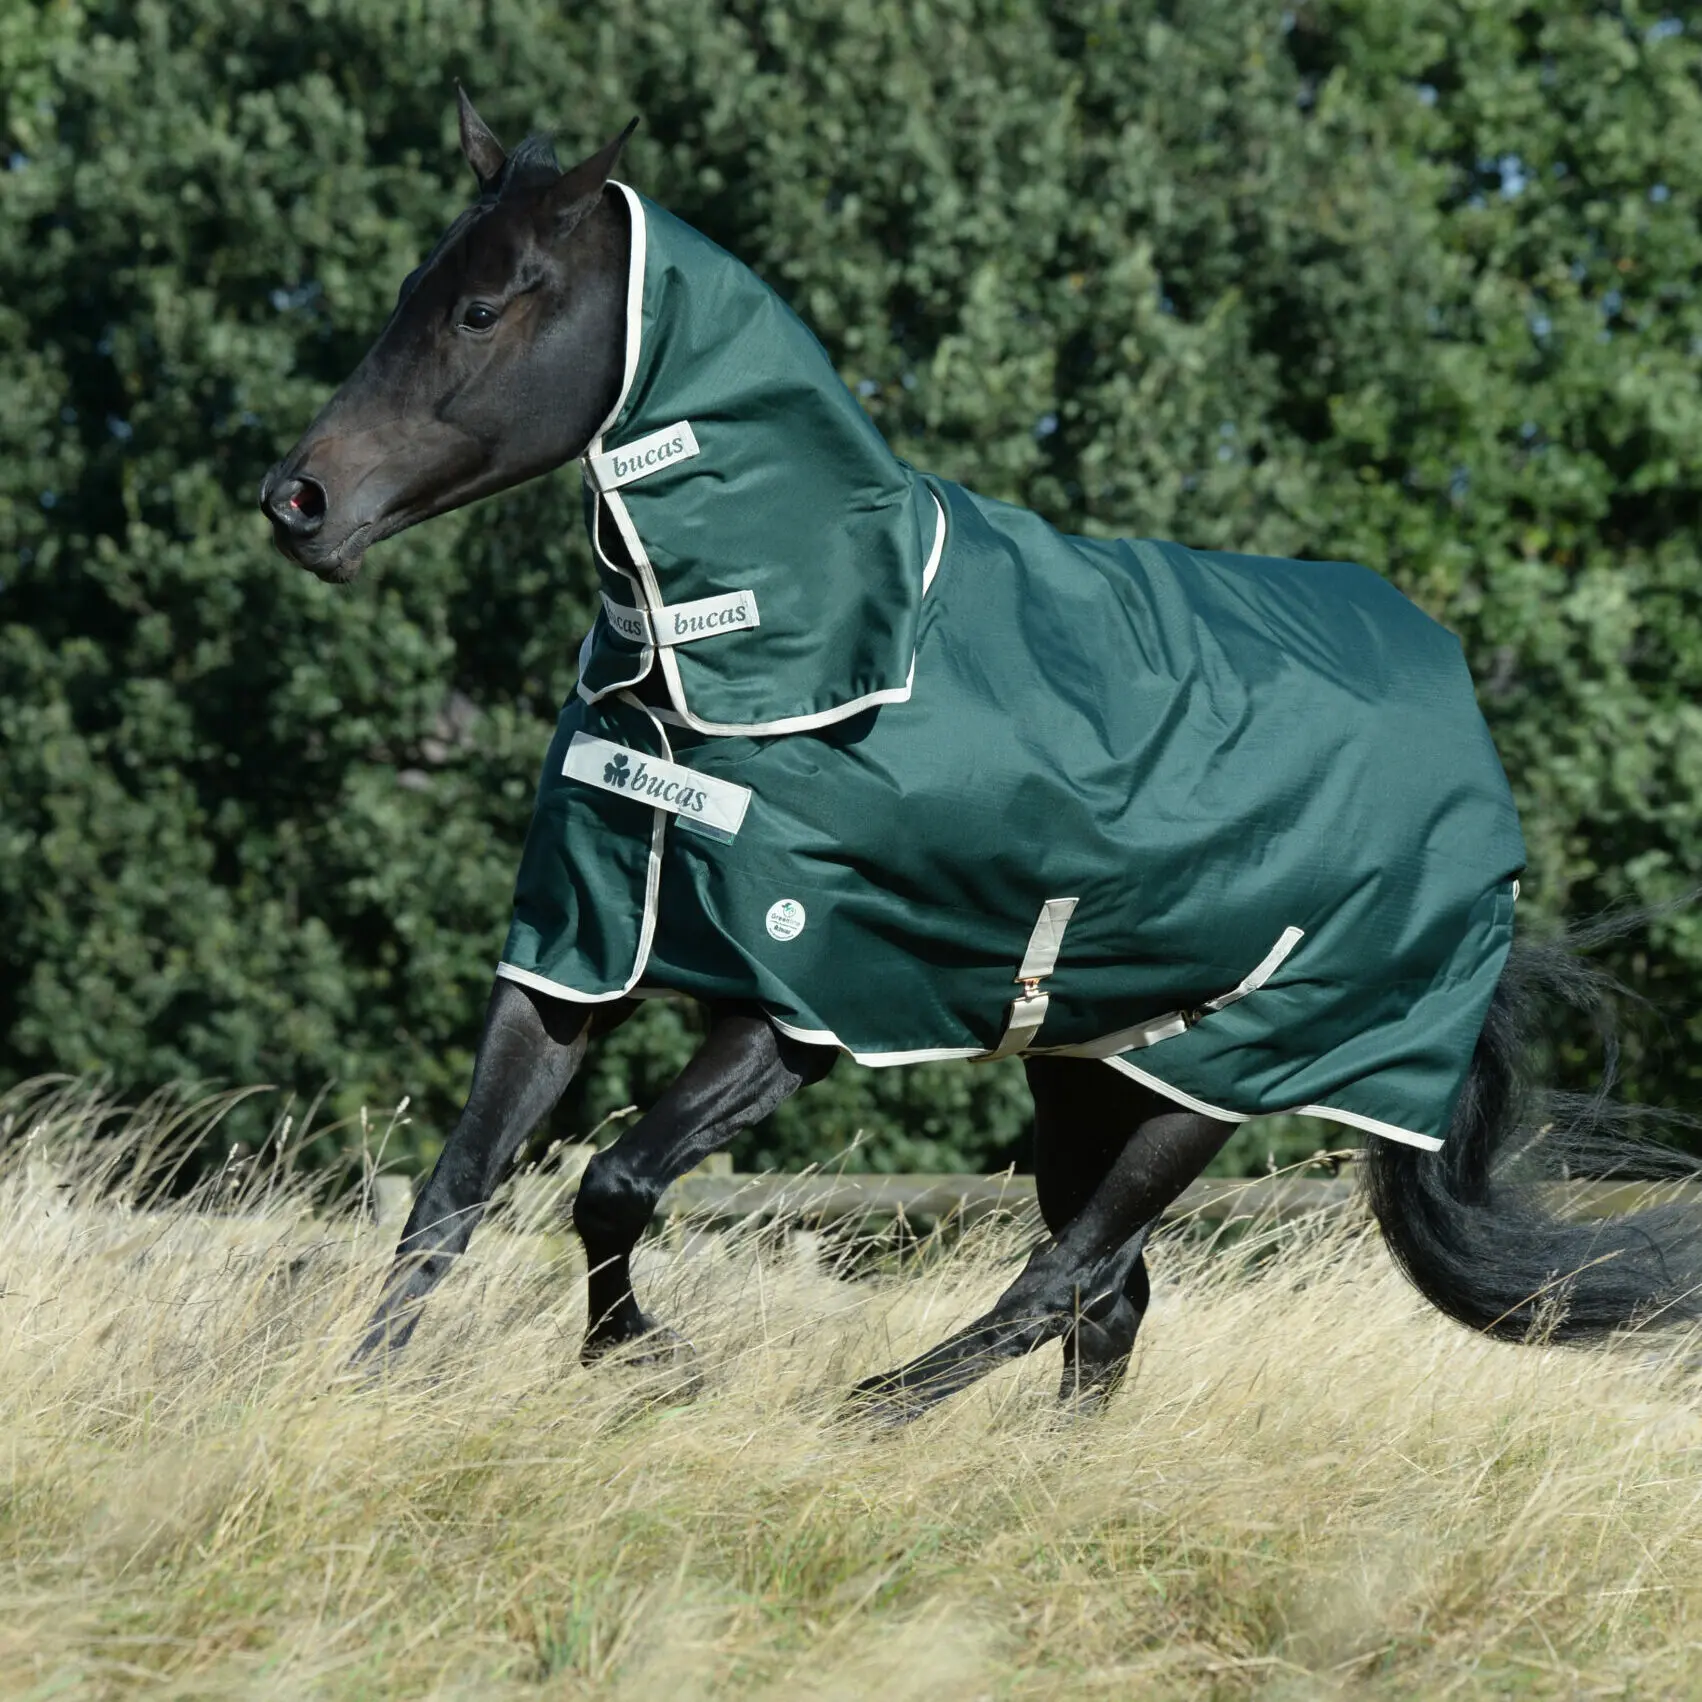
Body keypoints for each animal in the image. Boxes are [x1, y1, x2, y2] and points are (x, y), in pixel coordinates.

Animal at [261, 90, 1702, 1421]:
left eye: (482, 309)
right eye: (414, 289)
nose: (297, 500)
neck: (751, 671)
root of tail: (1483, 793)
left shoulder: (803, 1000)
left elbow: (609, 1184)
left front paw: (649, 1360)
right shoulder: (574, 954)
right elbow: (454, 1193)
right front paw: (367, 1390)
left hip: (1216, 1079)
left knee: (1061, 1278)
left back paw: (861, 1418)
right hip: (1086, 1070)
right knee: (1108, 1300)